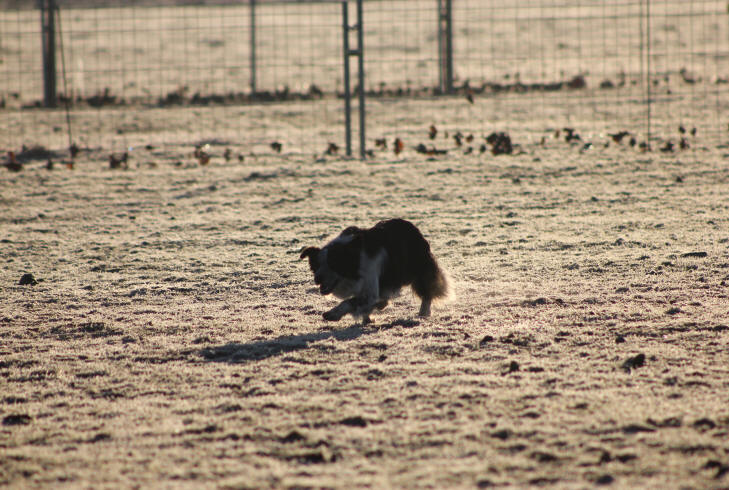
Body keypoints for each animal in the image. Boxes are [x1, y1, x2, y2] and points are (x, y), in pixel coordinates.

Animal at [298, 220, 446, 324]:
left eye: (333, 264)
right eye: (316, 265)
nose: (317, 279)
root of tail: (414, 228)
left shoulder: (370, 282)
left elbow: (351, 302)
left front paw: (332, 314)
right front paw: (368, 319)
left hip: (418, 268)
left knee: (426, 291)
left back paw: (423, 313)